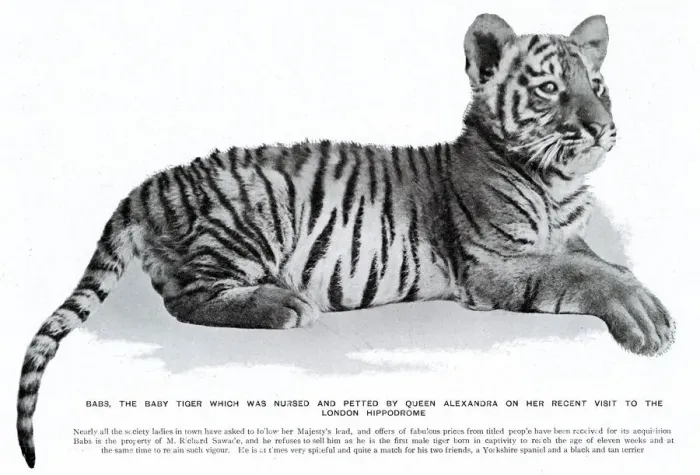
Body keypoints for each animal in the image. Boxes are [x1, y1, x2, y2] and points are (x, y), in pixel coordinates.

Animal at [17, 14, 674, 468]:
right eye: (549, 90)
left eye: (598, 85)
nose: (603, 128)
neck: (558, 184)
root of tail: (150, 185)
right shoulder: (496, 264)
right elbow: (582, 274)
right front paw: (648, 321)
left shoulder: (564, 240)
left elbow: (607, 264)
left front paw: (647, 298)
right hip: (249, 219)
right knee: (186, 299)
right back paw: (284, 303)